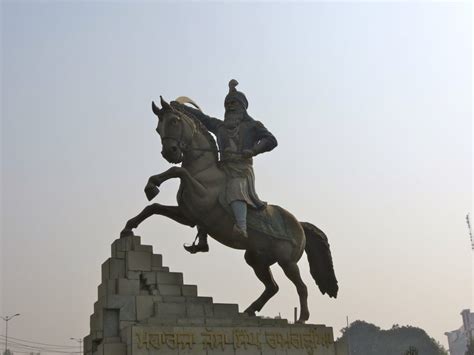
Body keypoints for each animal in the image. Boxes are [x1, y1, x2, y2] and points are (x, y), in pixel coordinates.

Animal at [121, 96, 336, 322]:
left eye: (174, 121)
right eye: (157, 128)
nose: (169, 152)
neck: (203, 169)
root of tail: (300, 225)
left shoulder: (202, 196)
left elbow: (177, 171)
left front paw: (153, 184)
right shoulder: (188, 216)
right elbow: (153, 207)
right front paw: (129, 225)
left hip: (286, 261)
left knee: (301, 286)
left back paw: (302, 318)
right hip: (256, 258)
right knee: (272, 287)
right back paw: (250, 310)